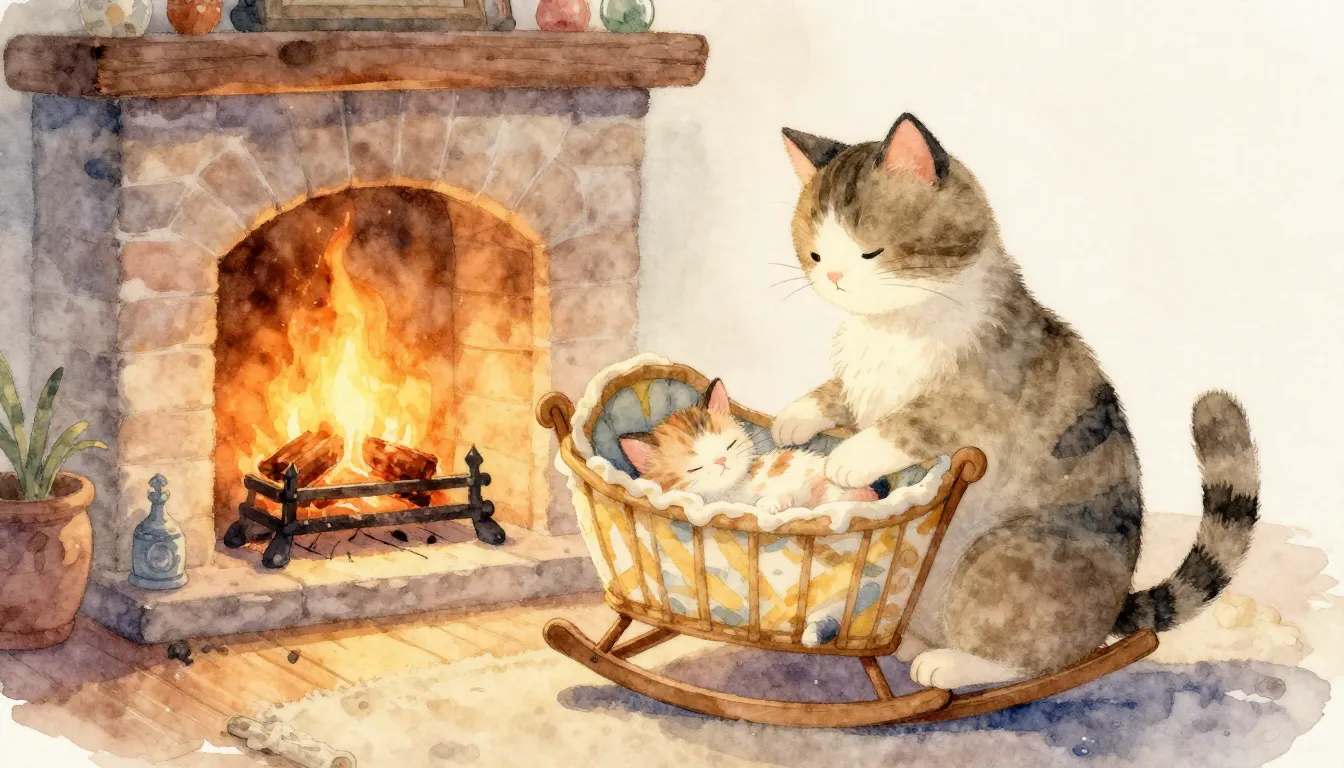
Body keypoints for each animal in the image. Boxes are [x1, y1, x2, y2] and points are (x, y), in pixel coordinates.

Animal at [617, 379, 878, 514]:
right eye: (694, 468)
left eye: (730, 445)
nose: (721, 461)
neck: (732, 494)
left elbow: (782, 493)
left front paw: (769, 504)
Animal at [771, 113, 1259, 689]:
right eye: (816, 254)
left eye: (872, 252)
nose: (834, 278)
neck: (894, 329)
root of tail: (1115, 611)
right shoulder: (864, 382)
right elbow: (841, 393)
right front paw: (796, 416)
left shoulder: (984, 396)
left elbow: (917, 419)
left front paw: (851, 455)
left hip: (1003, 553)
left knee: (1031, 659)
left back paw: (947, 664)